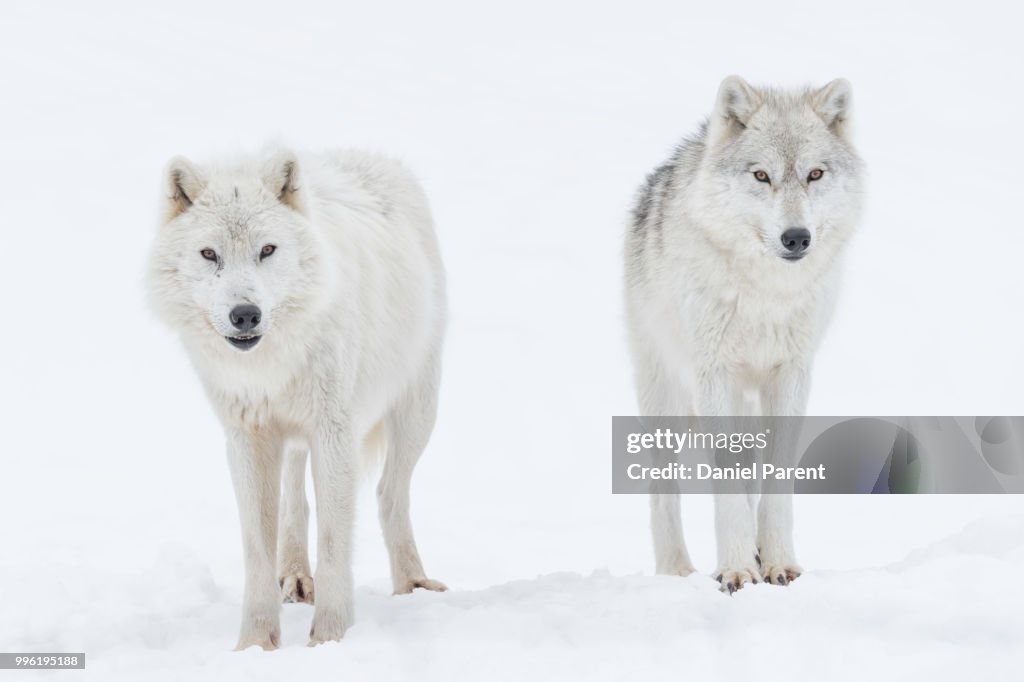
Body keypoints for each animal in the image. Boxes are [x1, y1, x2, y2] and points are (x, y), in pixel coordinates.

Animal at [147, 146, 448, 649]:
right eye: (210, 254)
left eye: (267, 250)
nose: (245, 314)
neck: (271, 365)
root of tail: (365, 155)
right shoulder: (247, 437)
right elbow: (257, 548)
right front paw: (254, 644)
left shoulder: (335, 433)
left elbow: (334, 541)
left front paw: (329, 639)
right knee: (295, 496)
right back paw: (295, 576)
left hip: (417, 411)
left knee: (389, 494)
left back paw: (412, 583)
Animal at [624, 76, 864, 592]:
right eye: (761, 176)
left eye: (815, 174)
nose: (796, 237)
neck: (766, 294)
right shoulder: (715, 374)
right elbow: (726, 485)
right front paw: (735, 569)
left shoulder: (791, 375)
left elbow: (774, 484)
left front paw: (777, 564)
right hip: (666, 398)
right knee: (664, 493)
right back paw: (676, 570)